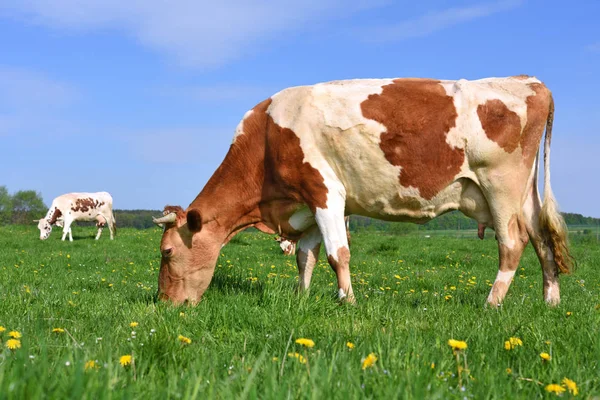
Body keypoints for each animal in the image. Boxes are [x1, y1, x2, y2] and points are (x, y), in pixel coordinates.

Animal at [154, 75, 572, 306]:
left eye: (167, 252)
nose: (164, 303)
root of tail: (527, 80)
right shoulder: (307, 204)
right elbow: (305, 257)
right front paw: (301, 298)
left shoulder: (325, 191)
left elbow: (337, 254)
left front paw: (348, 301)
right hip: (525, 196)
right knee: (541, 239)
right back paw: (551, 302)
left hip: (501, 187)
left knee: (513, 244)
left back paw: (491, 303)